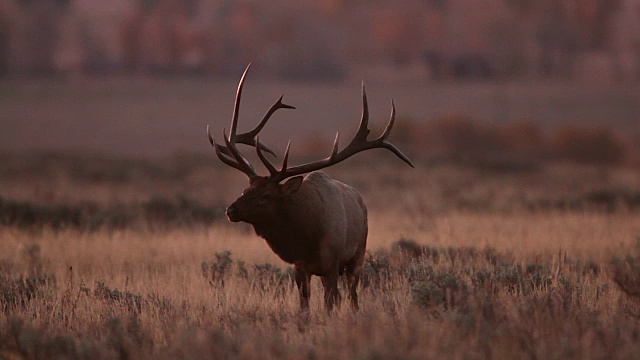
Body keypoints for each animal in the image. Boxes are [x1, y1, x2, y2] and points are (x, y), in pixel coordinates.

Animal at [208, 63, 412, 310]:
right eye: (245, 190)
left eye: (267, 195)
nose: (231, 210)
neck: (307, 237)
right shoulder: (300, 267)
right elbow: (304, 304)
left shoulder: (332, 263)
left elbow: (330, 303)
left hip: (358, 254)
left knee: (352, 294)